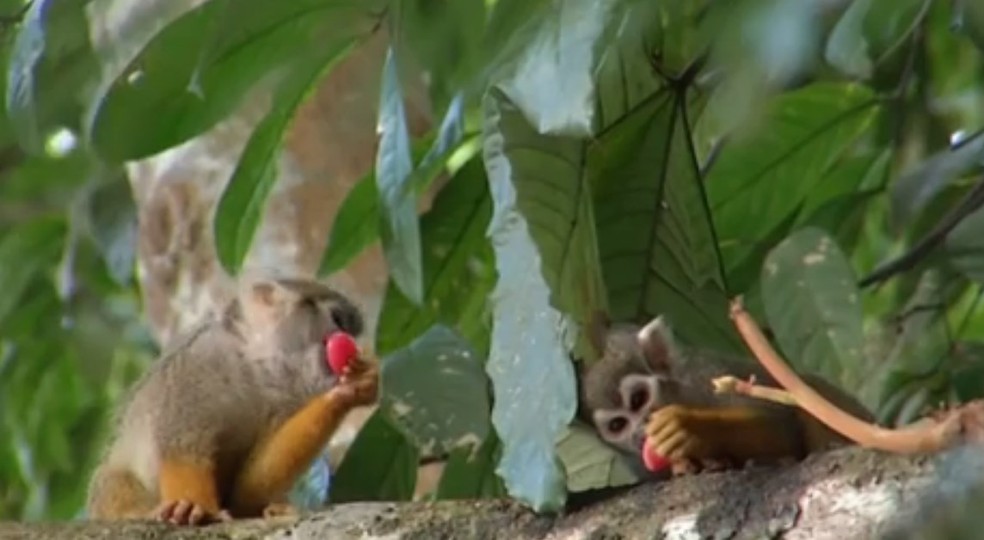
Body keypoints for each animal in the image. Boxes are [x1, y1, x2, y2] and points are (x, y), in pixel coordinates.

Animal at [86, 276, 378, 524]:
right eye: (338, 320)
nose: (351, 342)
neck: (255, 367)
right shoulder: (197, 362)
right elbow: (182, 446)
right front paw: (191, 506)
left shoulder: (291, 396)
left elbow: (250, 488)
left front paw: (352, 390)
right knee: (114, 478)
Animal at [580, 314, 872, 474]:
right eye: (618, 425)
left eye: (638, 399)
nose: (640, 433)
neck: (684, 393)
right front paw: (688, 464)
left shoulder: (705, 377)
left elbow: (783, 427)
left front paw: (692, 428)